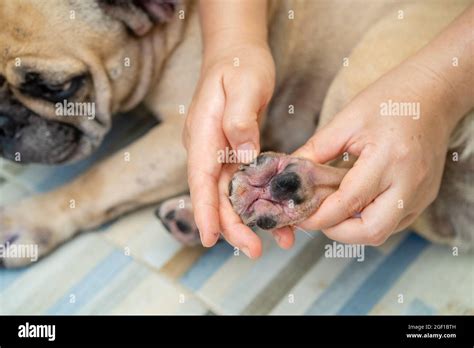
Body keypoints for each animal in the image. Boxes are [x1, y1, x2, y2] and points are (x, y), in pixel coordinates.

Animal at [0, 0, 472, 266]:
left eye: (57, 87)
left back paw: (273, 187)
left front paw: (29, 220)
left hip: (362, 80)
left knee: (339, 180)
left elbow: (100, 178)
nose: (3, 120)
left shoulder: (182, 133)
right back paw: (198, 216)